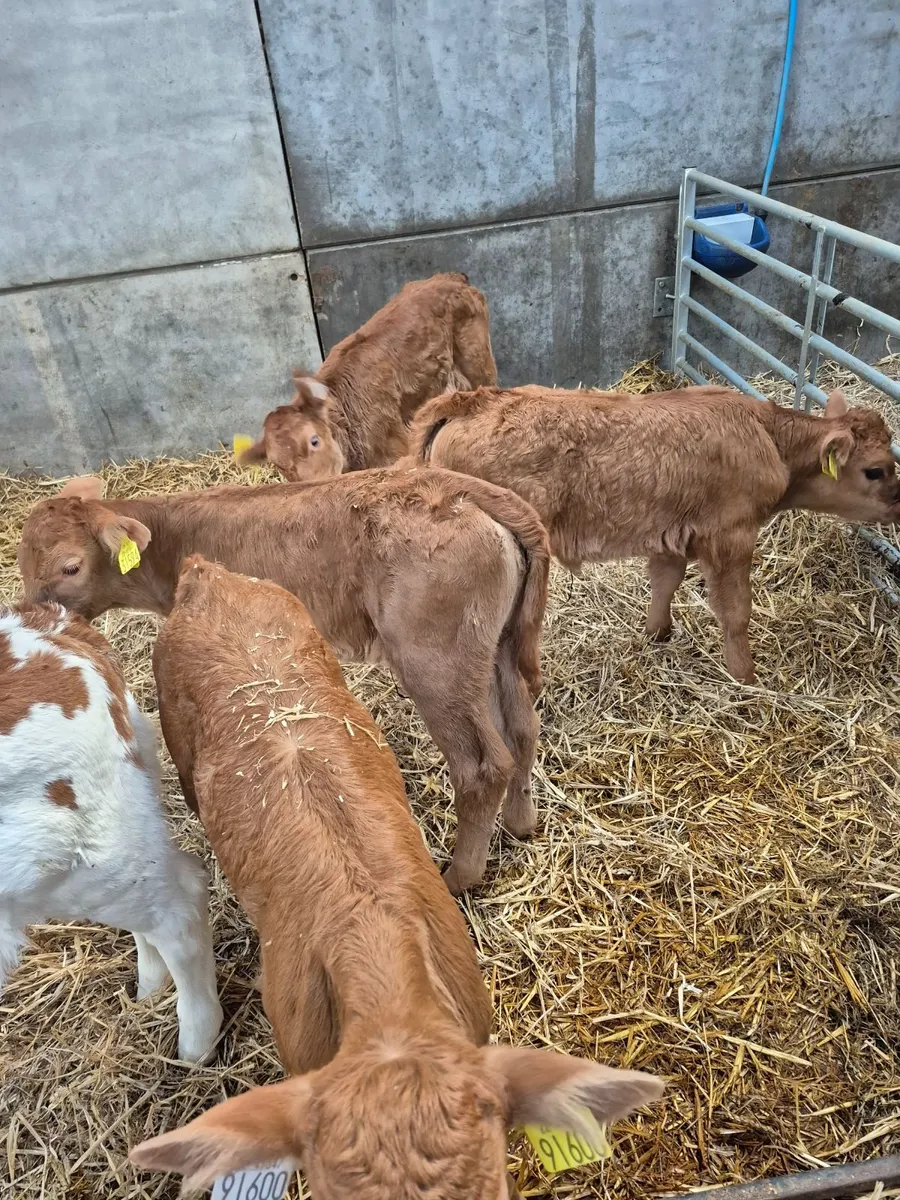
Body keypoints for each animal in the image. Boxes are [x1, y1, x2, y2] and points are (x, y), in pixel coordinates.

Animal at [18, 467, 549, 895]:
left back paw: (460, 877)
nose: (35, 617)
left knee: (482, 765)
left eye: (70, 566)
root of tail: (462, 487)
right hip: (497, 646)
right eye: (21, 566)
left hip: (435, 659)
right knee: (522, 728)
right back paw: (521, 823)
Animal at [409, 385, 900, 683]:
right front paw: (745, 676)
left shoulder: (672, 533)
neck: (767, 438)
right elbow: (736, 612)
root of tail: (473, 399)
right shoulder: (731, 536)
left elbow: (666, 582)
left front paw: (656, 633)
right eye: (875, 470)